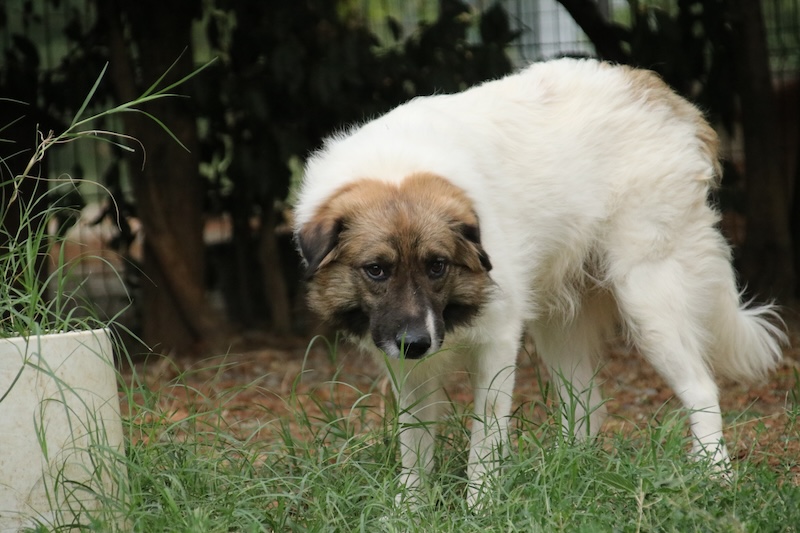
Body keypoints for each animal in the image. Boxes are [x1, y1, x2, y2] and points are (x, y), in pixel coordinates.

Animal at [293, 58, 786, 507]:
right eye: (376, 270)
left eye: (437, 266)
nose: (416, 342)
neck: (396, 163)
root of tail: (661, 94)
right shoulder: (408, 367)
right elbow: (414, 447)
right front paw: (408, 511)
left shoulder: (497, 343)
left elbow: (484, 440)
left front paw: (480, 507)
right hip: (558, 325)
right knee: (589, 405)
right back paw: (568, 474)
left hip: (650, 304)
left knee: (702, 388)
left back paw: (714, 477)